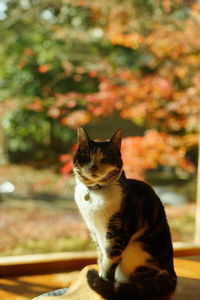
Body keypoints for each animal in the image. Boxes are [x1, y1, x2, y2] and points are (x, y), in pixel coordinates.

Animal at [72, 127, 176, 300]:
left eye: (106, 158)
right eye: (86, 157)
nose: (93, 167)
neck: (95, 193)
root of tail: (172, 274)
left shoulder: (117, 233)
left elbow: (109, 261)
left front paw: (103, 285)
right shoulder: (95, 232)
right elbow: (101, 256)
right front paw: (100, 278)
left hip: (136, 252)